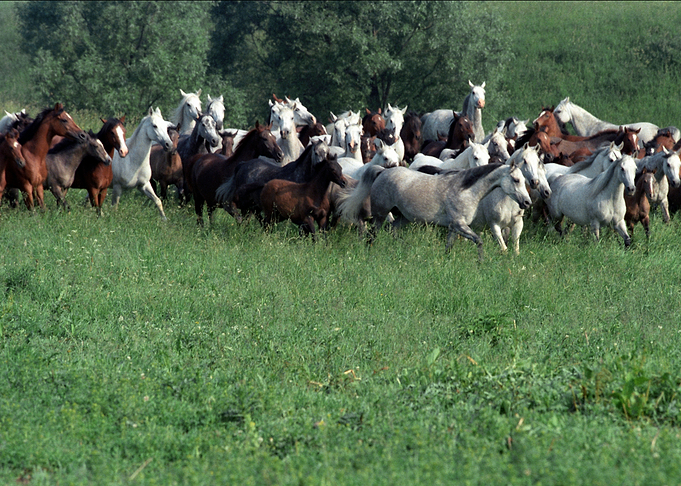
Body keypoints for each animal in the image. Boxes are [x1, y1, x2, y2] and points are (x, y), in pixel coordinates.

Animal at [338, 161, 530, 260]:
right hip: (380, 214)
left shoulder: (454, 227)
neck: (466, 190)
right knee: (372, 235)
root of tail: (382, 171)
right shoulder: (459, 224)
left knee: (393, 231)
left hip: (403, 217)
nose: (527, 202)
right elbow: (479, 241)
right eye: (515, 179)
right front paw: (480, 263)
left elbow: (448, 247)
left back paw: (404, 250)